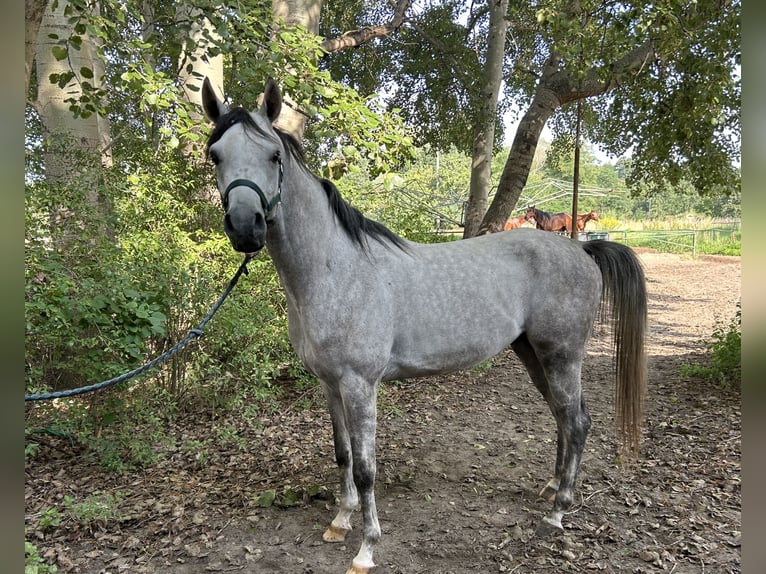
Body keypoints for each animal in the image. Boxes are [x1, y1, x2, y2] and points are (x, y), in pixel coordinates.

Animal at [200, 77, 648, 574]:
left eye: (274, 156)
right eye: (215, 154)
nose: (246, 227)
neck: (334, 269)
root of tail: (582, 250)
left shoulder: (360, 384)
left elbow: (366, 468)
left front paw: (366, 548)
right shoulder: (329, 384)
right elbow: (341, 454)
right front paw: (340, 521)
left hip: (562, 355)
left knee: (578, 421)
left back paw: (557, 514)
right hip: (533, 354)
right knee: (561, 417)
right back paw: (551, 490)